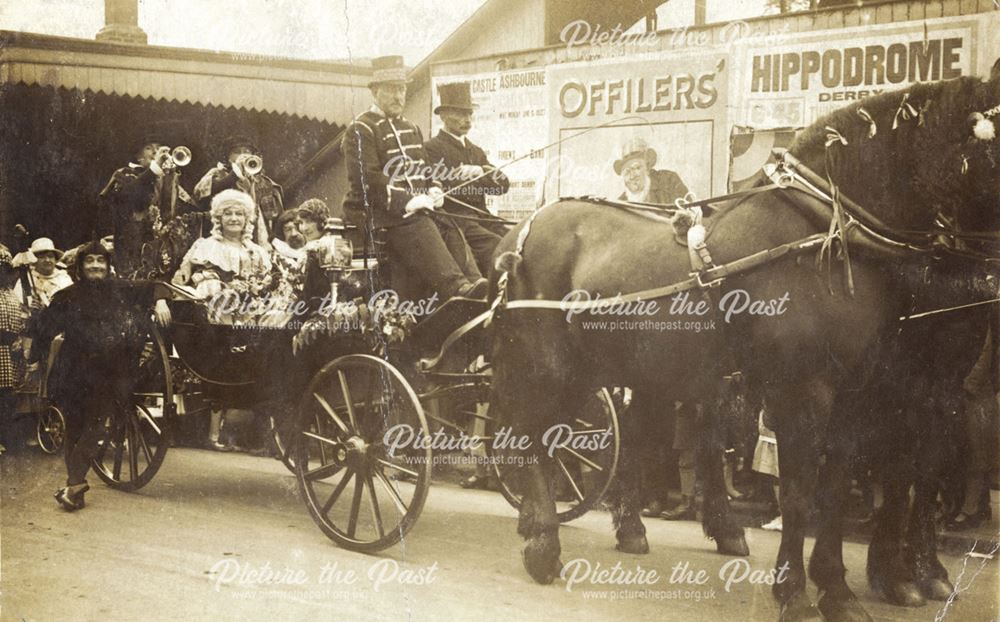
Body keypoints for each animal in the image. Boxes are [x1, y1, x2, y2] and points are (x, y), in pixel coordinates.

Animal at [486, 74, 1000, 622]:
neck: (829, 232)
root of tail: (516, 235)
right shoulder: (803, 391)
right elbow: (799, 495)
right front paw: (795, 592)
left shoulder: (864, 394)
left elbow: (840, 491)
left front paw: (838, 589)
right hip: (547, 364)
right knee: (531, 434)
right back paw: (543, 543)